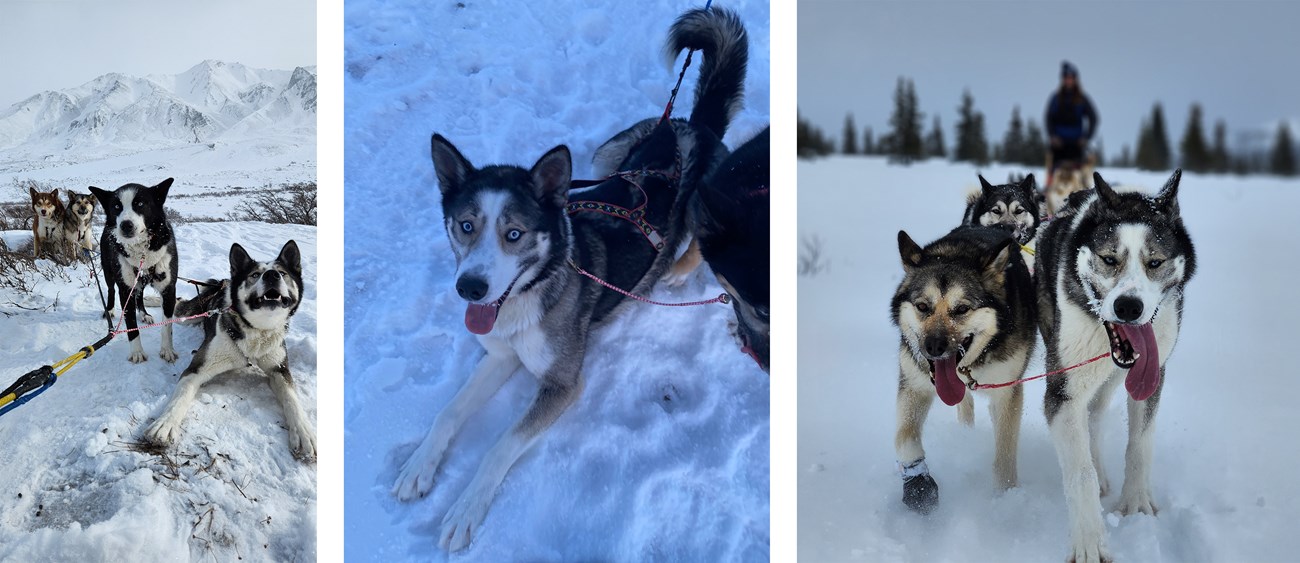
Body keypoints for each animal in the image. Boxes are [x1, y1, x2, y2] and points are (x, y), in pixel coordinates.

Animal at [89, 179, 180, 364]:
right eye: (116, 206)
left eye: (140, 204)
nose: (126, 225)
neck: (142, 252)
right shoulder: (125, 290)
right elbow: (131, 325)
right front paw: (137, 352)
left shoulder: (169, 289)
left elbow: (167, 325)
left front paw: (167, 350)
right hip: (109, 272)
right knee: (110, 290)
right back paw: (110, 310)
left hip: (140, 280)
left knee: (140, 295)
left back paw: (144, 314)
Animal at [144, 240, 314, 460]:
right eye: (254, 275)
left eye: (283, 273)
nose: (272, 275)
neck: (257, 329)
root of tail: (221, 282)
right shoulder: (197, 368)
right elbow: (180, 397)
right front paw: (165, 424)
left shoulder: (279, 369)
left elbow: (292, 399)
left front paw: (304, 433)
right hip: (188, 314)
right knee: (176, 302)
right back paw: (149, 302)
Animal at [390, 6, 748, 551]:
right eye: (466, 225)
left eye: (514, 233)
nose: (469, 288)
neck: (530, 294)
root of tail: (692, 127)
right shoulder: (500, 355)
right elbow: (449, 412)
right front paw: (419, 465)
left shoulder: (562, 383)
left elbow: (500, 445)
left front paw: (465, 508)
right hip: (609, 155)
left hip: (696, 202)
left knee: (697, 240)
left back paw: (677, 270)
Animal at [1034, 169, 1196, 559]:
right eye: (1109, 259)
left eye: (1155, 262)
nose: (1128, 306)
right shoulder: (1063, 392)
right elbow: (1081, 473)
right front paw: (1090, 542)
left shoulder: (1153, 375)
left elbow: (1140, 444)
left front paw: (1136, 504)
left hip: (1106, 380)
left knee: (1095, 416)